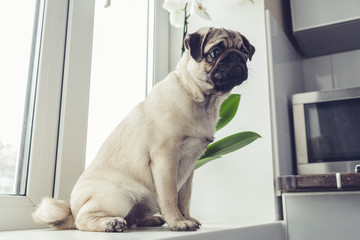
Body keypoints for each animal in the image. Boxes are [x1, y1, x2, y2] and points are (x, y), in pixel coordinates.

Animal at [32, 27, 255, 232]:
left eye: (245, 53)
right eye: (215, 52)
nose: (235, 57)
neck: (200, 99)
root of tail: (71, 209)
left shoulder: (189, 168)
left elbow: (184, 198)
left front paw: (187, 217)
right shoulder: (165, 158)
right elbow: (170, 195)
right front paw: (178, 222)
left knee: (133, 219)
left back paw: (150, 220)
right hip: (119, 196)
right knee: (83, 221)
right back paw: (111, 223)